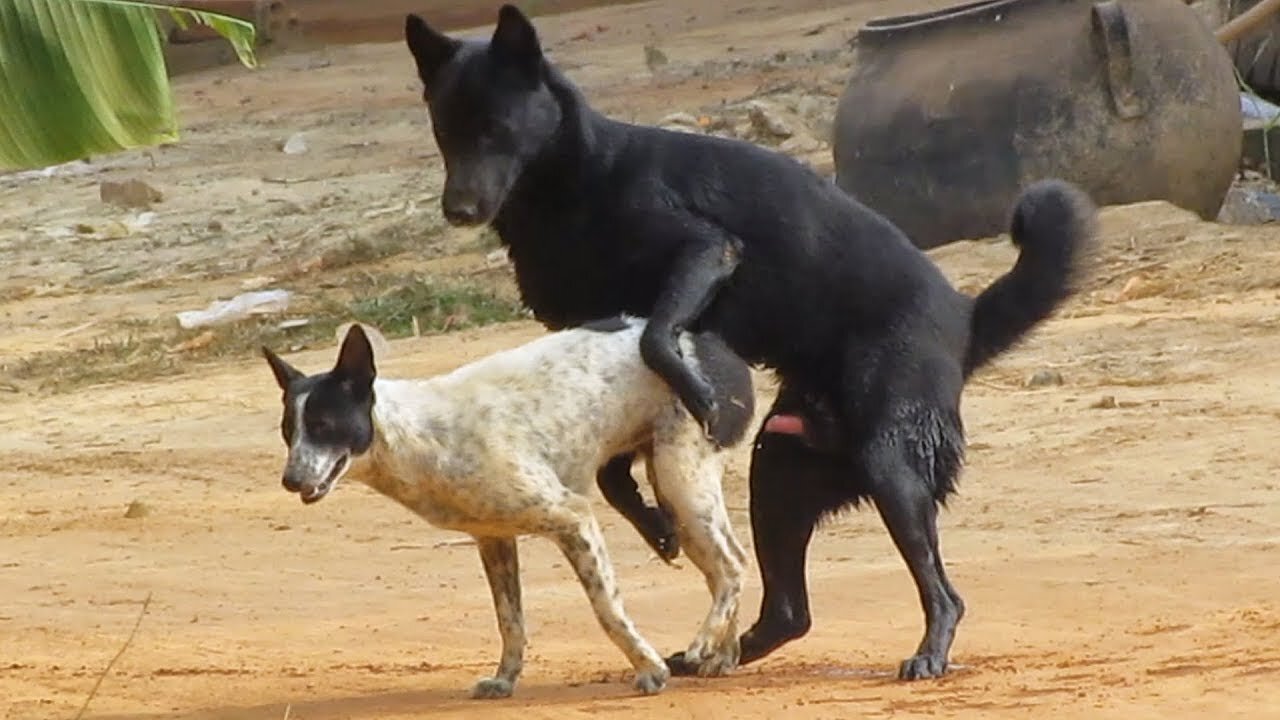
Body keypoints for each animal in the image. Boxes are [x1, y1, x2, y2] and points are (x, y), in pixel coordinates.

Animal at [263, 315, 752, 696]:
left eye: (323, 424)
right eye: (288, 431)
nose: (290, 481)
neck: (417, 435)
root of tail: (713, 344)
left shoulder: (572, 517)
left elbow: (607, 610)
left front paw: (650, 668)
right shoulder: (494, 539)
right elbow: (509, 621)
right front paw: (505, 679)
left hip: (680, 481)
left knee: (732, 567)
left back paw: (703, 643)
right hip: (679, 500)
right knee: (724, 567)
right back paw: (722, 655)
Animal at [404, 5, 1095, 676]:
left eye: (495, 129)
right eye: (444, 132)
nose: (457, 209)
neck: (579, 180)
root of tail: (964, 319)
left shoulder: (706, 250)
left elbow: (659, 340)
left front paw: (694, 406)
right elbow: (611, 473)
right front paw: (657, 525)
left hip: (890, 464)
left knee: (943, 594)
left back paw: (927, 653)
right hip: (780, 470)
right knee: (790, 611)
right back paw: (711, 654)